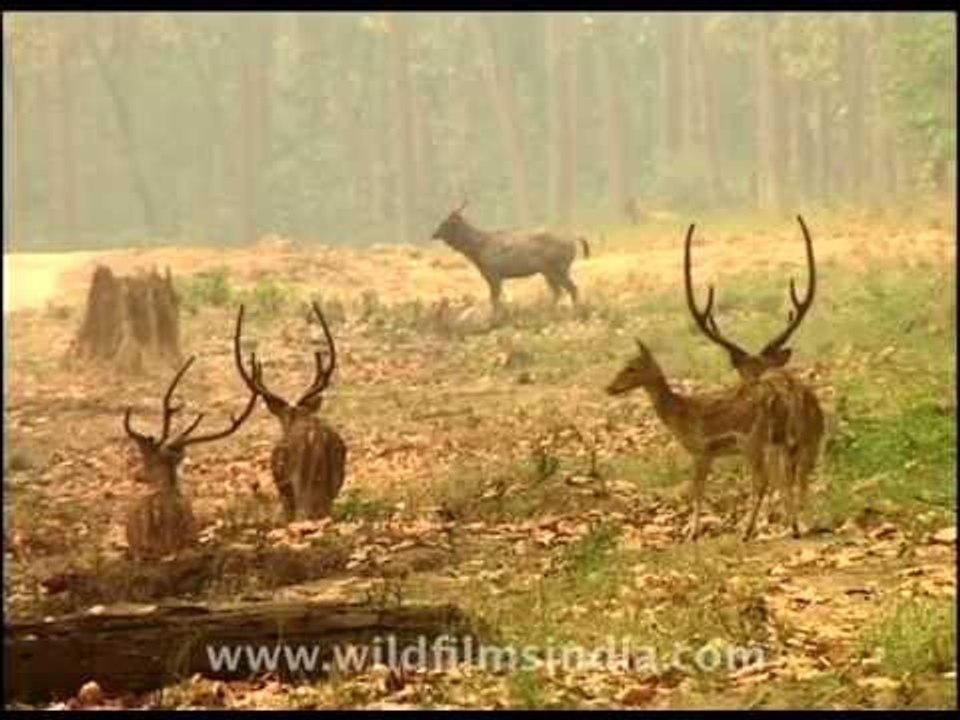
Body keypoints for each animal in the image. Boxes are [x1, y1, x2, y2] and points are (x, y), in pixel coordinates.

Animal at [233, 302, 347, 522]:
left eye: (282, 420)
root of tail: (316, 441)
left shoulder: (283, 487)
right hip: (334, 481)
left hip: (298, 481)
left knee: (302, 513)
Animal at [431, 200, 590, 315]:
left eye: (445, 223)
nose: (434, 234)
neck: (478, 250)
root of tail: (573, 240)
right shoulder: (492, 275)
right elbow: (496, 299)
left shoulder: (494, 273)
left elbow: (494, 299)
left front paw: (495, 318)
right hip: (549, 272)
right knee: (558, 292)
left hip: (559, 268)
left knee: (571, 288)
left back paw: (574, 311)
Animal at [683, 216, 825, 537]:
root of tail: (791, 397)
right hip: (809, 441)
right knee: (800, 483)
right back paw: (804, 523)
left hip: (763, 441)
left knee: (773, 481)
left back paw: (762, 527)